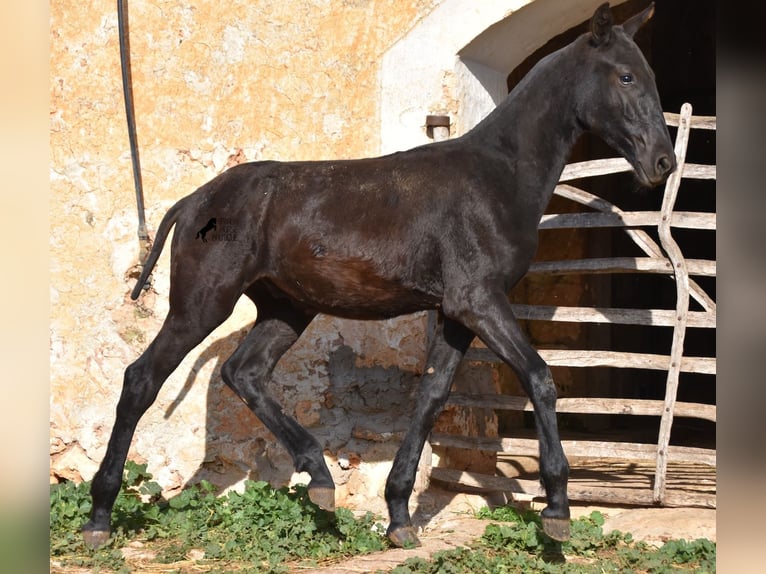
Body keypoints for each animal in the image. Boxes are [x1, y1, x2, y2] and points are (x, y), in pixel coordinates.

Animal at [82, 3, 672, 552]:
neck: (497, 177)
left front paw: (400, 516)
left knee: (244, 374)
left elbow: (431, 397)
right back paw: (99, 518)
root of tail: (193, 201)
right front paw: (557, 511)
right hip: (203, 302)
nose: (662, 162)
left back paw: (320, 479)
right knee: (141, 379)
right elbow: (540, 378)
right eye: (625, 76)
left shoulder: (457, 314)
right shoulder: (478, 301)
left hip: (285, 309)